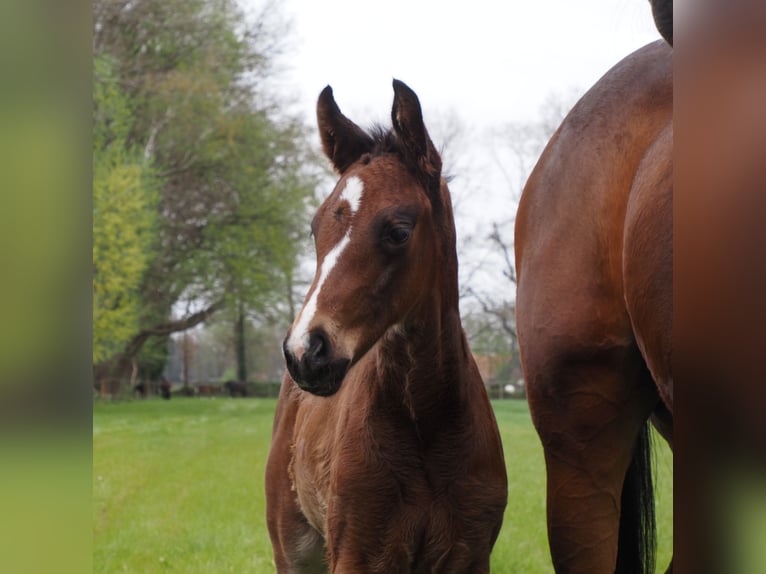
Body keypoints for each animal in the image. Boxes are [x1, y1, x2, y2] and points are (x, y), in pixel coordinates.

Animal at [265, 80, 507, 573]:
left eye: (398, 230)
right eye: (315, 228)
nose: (305, 352)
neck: (426, 425)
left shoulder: (470, 555)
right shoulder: (356, 554)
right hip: (293, 549)